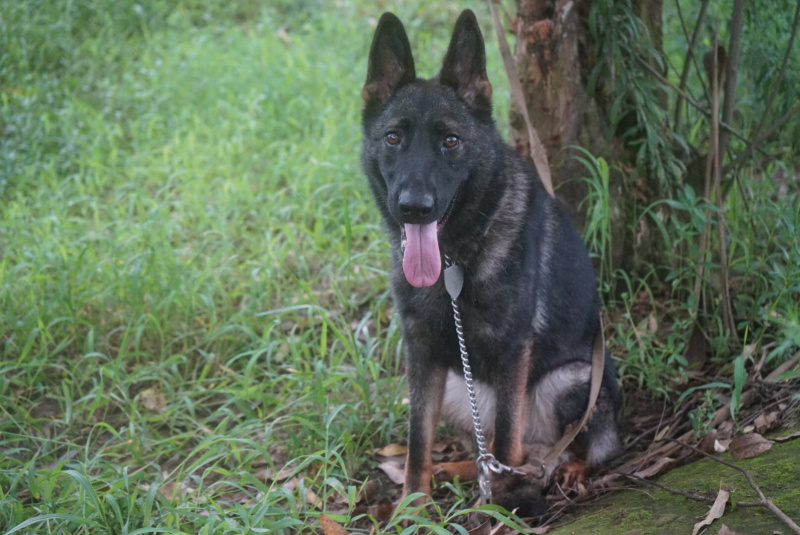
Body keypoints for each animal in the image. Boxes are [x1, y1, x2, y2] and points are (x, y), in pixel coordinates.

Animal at [360, 9, 620, 520]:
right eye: (393, 138)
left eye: (451, 141)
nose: (414, 208)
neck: (454, 262)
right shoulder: (421, 354)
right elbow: (418, 441)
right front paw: (412, 508)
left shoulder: (513, 351)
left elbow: (504, 437)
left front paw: (502, 507)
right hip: (458, 392)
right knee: (493, 449)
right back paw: (458, 471)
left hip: (569, 381)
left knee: (568, 447)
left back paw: (564, 470)